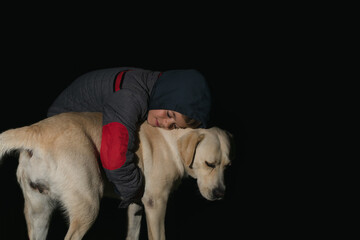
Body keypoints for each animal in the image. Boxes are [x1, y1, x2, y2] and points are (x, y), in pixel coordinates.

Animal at [0, 112, 232, 240]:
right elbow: (158, 235)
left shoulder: (136, 205)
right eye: (209, 164)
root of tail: (36, 130)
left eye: (227, 166)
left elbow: (132, 233)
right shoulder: (156, 203)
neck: (171, 140)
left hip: (39, 214)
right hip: (88, 207)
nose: (220, 194)